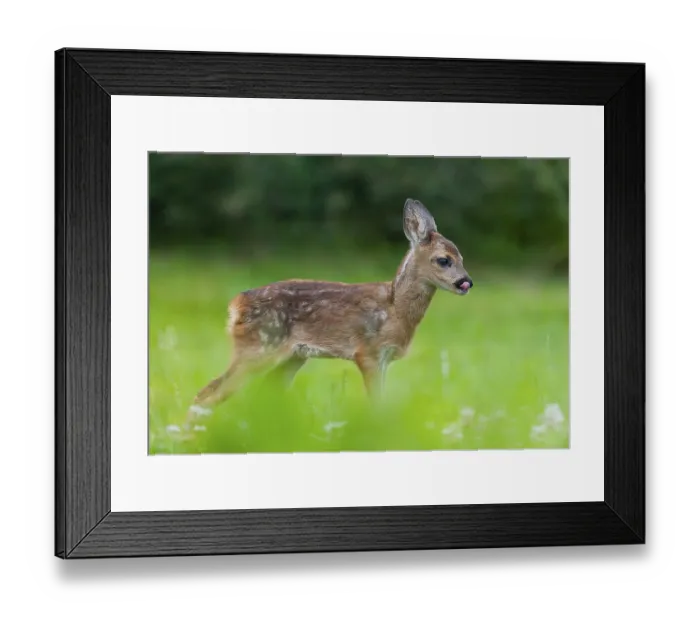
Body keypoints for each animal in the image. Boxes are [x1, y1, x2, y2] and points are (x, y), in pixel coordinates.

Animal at [184, 198, 473, 429]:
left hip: (292, 357)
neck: (395, 309)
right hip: (259, 347)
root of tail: (236, 305)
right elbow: (376, 404)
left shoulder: (384, 359)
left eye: (461, 257)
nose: (466, 282)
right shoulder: (367, 352)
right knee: (208, 393)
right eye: (444, 260)